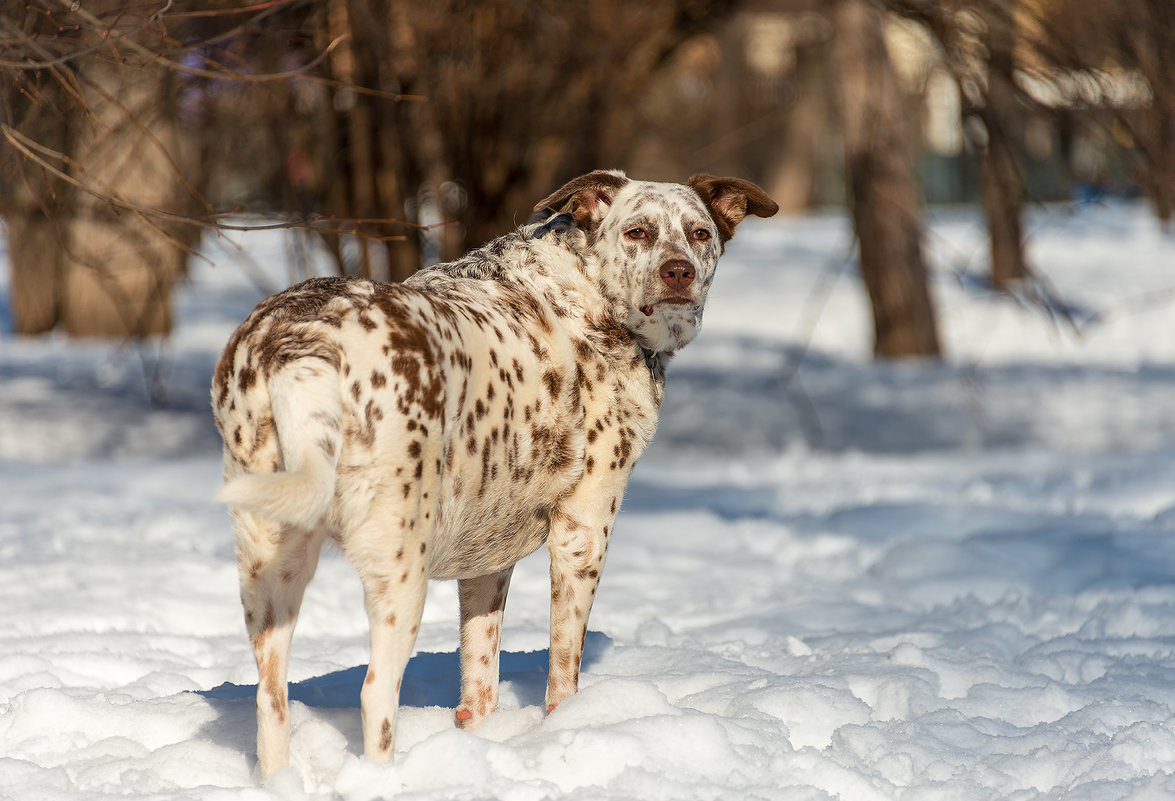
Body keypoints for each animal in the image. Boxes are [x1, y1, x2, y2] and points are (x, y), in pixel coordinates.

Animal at [212, 167, 775, 775]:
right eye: (638, 232)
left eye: (699, 233)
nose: (679, 272)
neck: (586, 289)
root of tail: (307, 343)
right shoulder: (583, 533)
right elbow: (563, 671)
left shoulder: (486, 561)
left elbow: (480, 678)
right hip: (400, 570)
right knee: (374, 696)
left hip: (270, 568)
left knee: (271, 698)